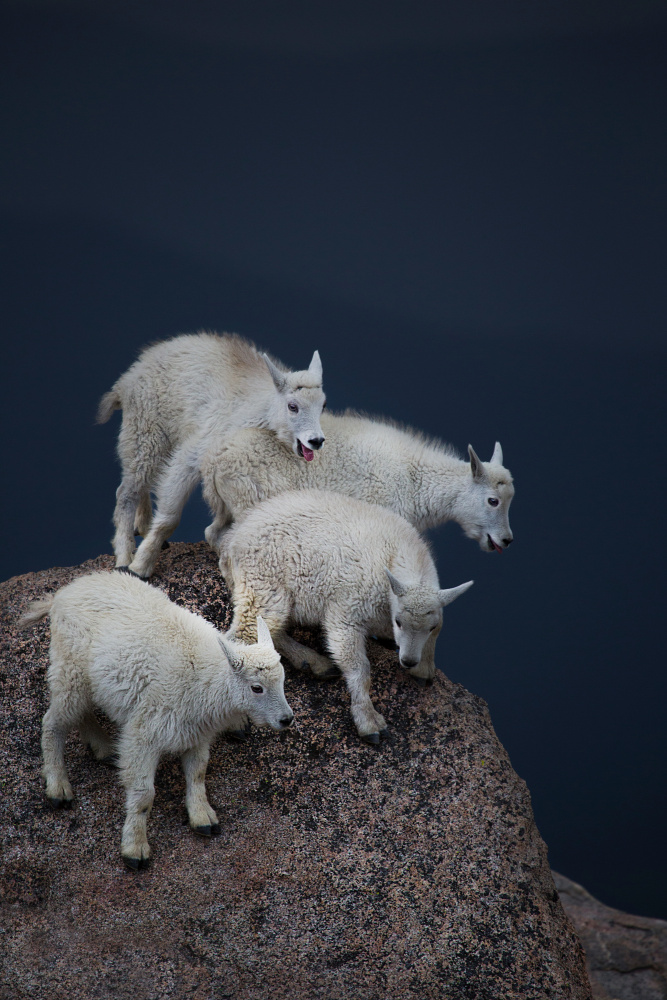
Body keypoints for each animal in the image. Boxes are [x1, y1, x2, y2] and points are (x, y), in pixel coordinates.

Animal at [18, 576, 292, 872]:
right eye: (256, 688)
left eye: (282, 680)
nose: (286, 719)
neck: (203, 678)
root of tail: (61, 595)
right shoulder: (145, 732)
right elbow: (143, 794)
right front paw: (135, 849)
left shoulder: (195, 734)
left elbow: (197, 774)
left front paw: (203, 819)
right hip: (70, 670)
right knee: (53, 722)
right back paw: (58, 787)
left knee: (82, 712)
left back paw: (103, 747)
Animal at [99, 330, 326, 572]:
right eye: (293, 406)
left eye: (322, 406)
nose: (316, 440)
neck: (259, 409)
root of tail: (126, 380)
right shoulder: (194, 453)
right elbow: (170, 517)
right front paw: (141, 566)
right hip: (144, 430)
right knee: (127, 491)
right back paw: (124, 557)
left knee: (141, 481)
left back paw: (142, 527)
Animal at [201, 410, 516, 560]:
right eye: (493, 500)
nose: (506, 540)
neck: (416, 481)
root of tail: (215, 462)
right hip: (250, 504)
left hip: (226, 509)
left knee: (213, 534)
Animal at [222, 492, 472, 744]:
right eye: (399, 622)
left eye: (430, 627)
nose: (408, 660)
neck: (393, 555)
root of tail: (234, 538)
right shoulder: (347, 612)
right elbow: (359, 668)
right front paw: (370, 722)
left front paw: (424, 669)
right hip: (265, 585)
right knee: (243, 636)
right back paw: (235, 722)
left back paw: (312, 662)